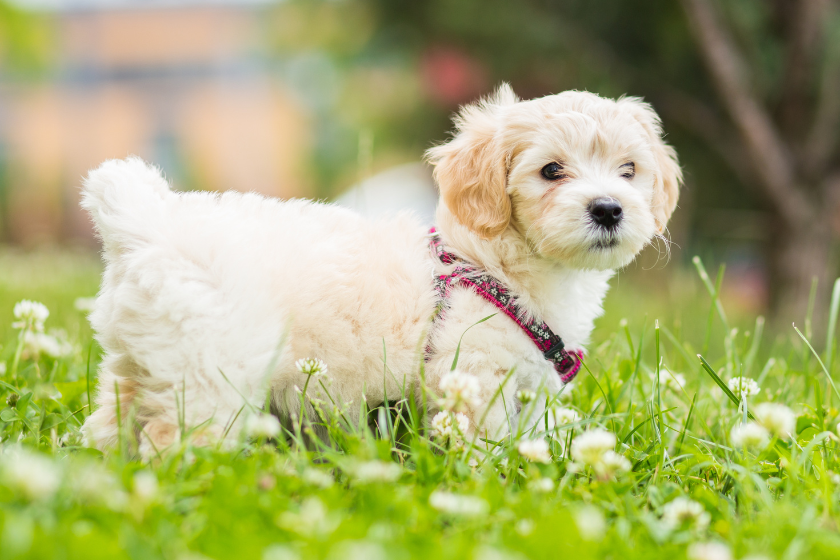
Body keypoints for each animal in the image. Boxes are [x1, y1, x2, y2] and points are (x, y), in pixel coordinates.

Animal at [80, 85, 684, 458]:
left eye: (629, 171)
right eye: (551, 171)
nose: (608, 208)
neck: (492, 264)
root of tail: (143, 223)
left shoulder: (529, 389)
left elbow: (532, 434)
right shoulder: (476, 375)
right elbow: (484, 444)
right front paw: (490, 481)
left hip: (139, 365)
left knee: (113, 425)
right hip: (209, 376)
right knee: (174, 441)